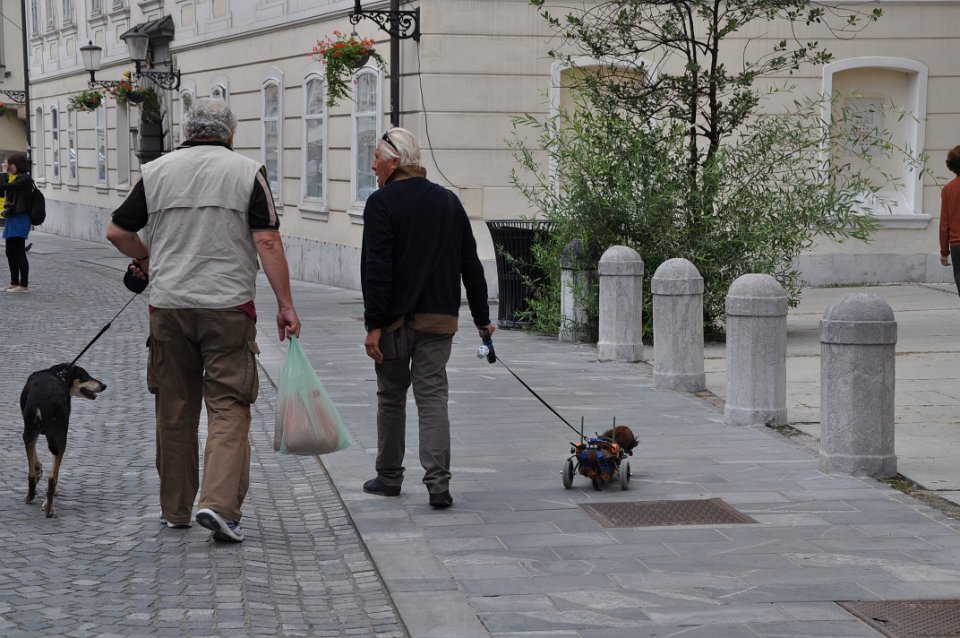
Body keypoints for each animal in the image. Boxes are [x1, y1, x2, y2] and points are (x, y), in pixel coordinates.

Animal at [20, 363, 107, 517]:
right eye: (85, 376)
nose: (104, 385)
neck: (60, 375)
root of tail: (46, 397)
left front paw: (38, 471)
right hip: (57, 436)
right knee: (52, 476)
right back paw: (47, 505)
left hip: (33, 431)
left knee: (35, 474)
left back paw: (33, 496)